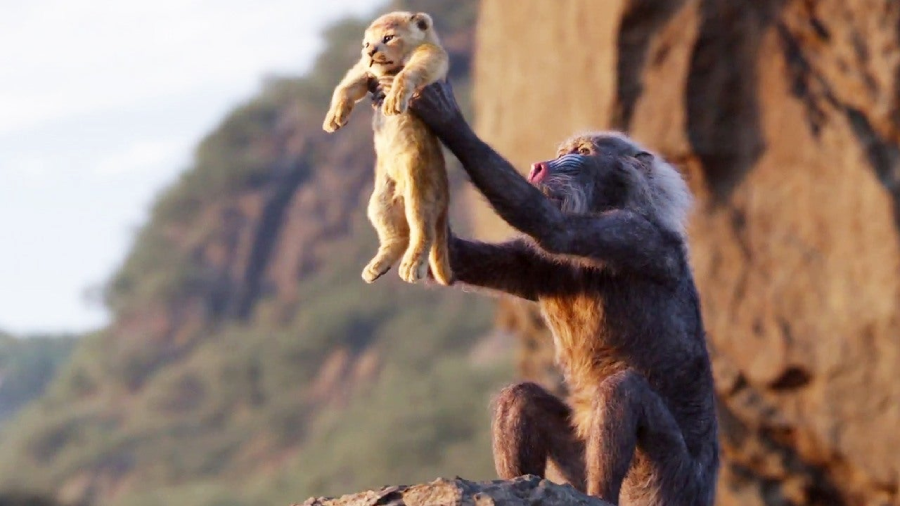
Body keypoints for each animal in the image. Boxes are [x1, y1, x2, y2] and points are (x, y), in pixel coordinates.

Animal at [322, 11, 453, 286]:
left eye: (388, 38)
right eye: (365, 44)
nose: (370, 51)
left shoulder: (432, 55)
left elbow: (409, 73)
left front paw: (393, 100)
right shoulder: (364, 71)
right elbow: (346, 85)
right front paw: (334, 119)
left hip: (420, 190)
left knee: (422, 230)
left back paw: (412, 267)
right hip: (380, 199)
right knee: (398, 237)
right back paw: (376, 267)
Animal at [397, 81, 720, 505]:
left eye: (582, 152)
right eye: (565, 150)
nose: (542, 165)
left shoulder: (630, 234)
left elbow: (552, 226)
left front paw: (446, 117)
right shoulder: (537, 265)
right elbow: (463, 261)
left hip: (669, 482)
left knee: (623, 391)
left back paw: (600, 493)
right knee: (520, 398)